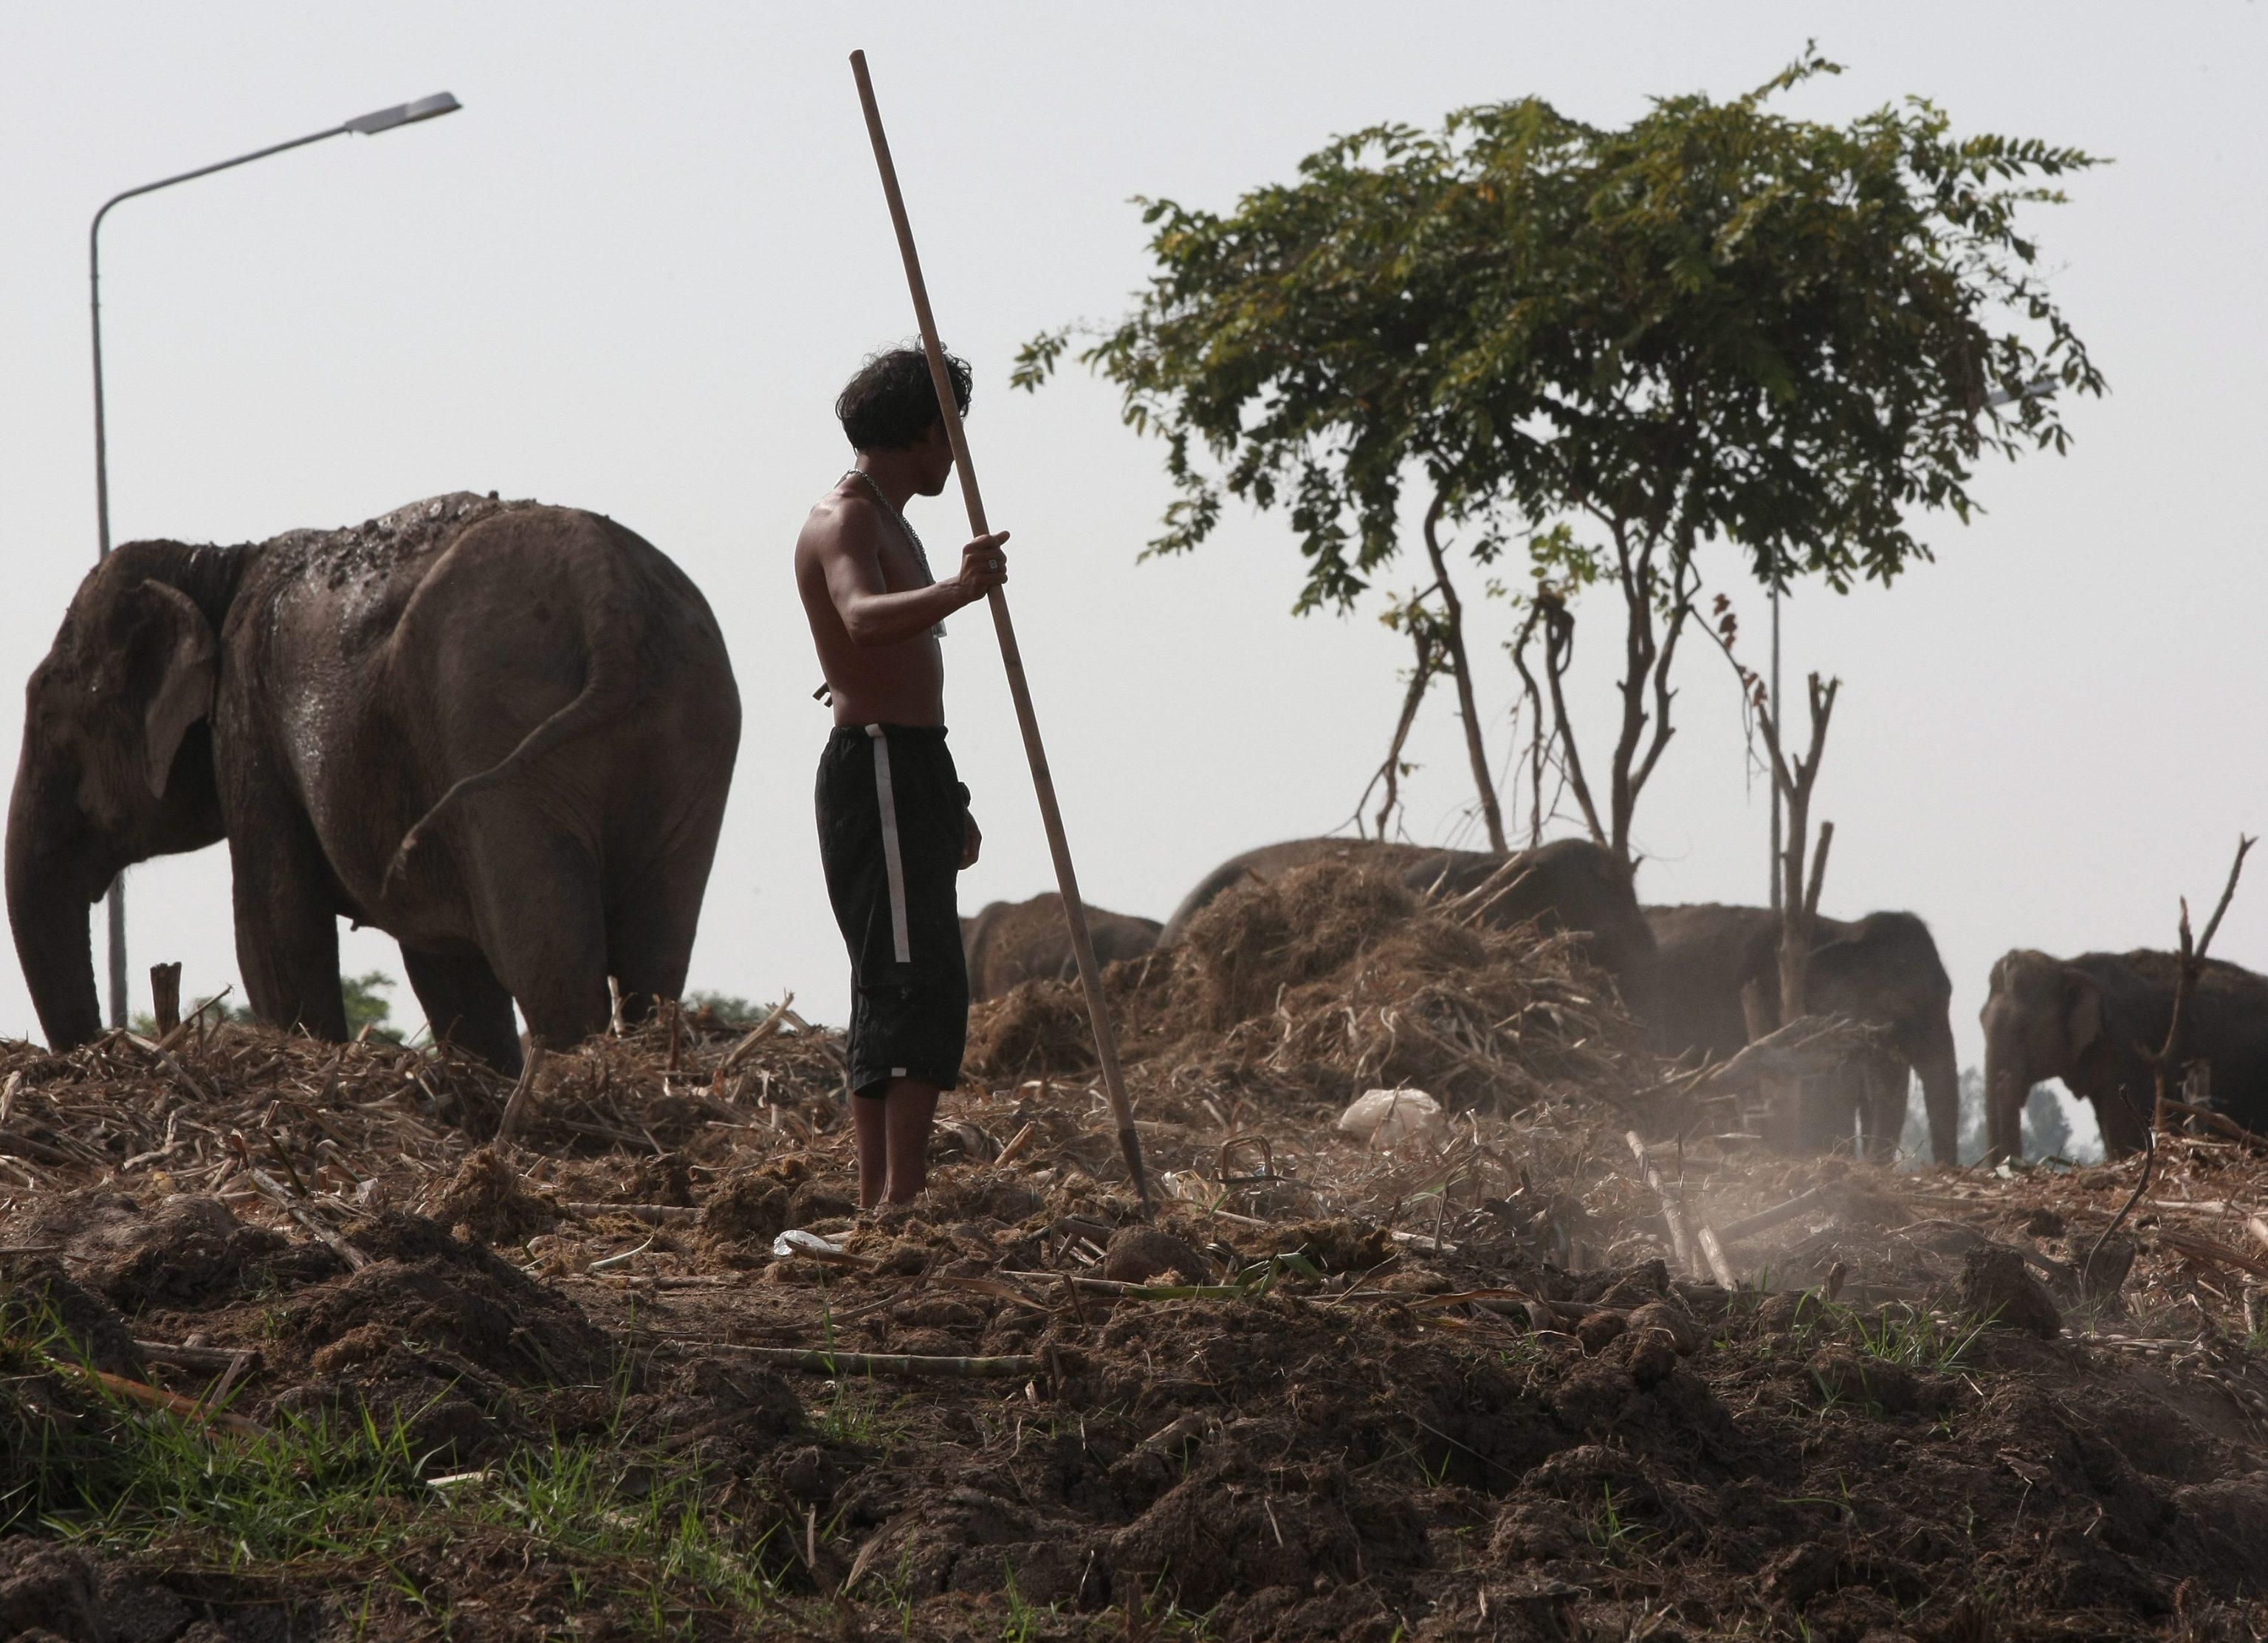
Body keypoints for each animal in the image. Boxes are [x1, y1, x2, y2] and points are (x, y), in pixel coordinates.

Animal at [7, 493, 739, 1073]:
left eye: (53, 726)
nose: (97, 1049)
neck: (213, 566)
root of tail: (607, 591)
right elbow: (444, 967)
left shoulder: (248, 721)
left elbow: (274, 928)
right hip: (691, 726)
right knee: (655, 953)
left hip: (492, 718)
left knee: (548, 958)